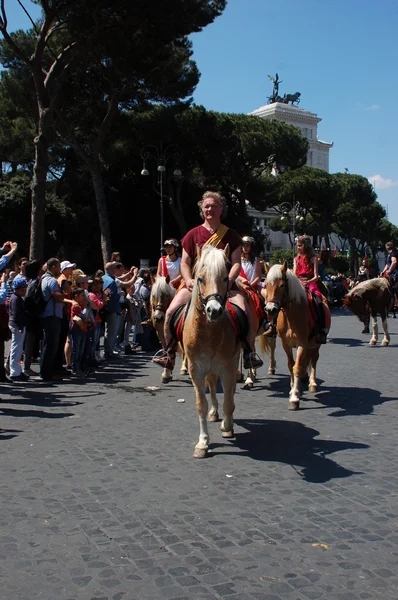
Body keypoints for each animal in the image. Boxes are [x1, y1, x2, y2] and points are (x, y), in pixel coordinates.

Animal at [183, 245, 239, 460]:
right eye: (200, 279)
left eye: (225, 278)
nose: (213, 310)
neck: (209, 332)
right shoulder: (195, 369)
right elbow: (202, 404)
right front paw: (203, 442)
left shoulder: (229, 368)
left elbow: (229, 400)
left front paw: (227, 426)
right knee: (213, 387)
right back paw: (214, 413)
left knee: (229, 393)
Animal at [262, 260, 326, 410]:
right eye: (266, 284)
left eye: (282, 285)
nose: (270, 309)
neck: (292, 314)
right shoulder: (286, 343)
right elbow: (291, 364)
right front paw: (292, 388)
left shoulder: (302, 343)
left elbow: (297, 367)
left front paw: (295, 397)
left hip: (316, 344)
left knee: (314, 359)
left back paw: (312, 383)